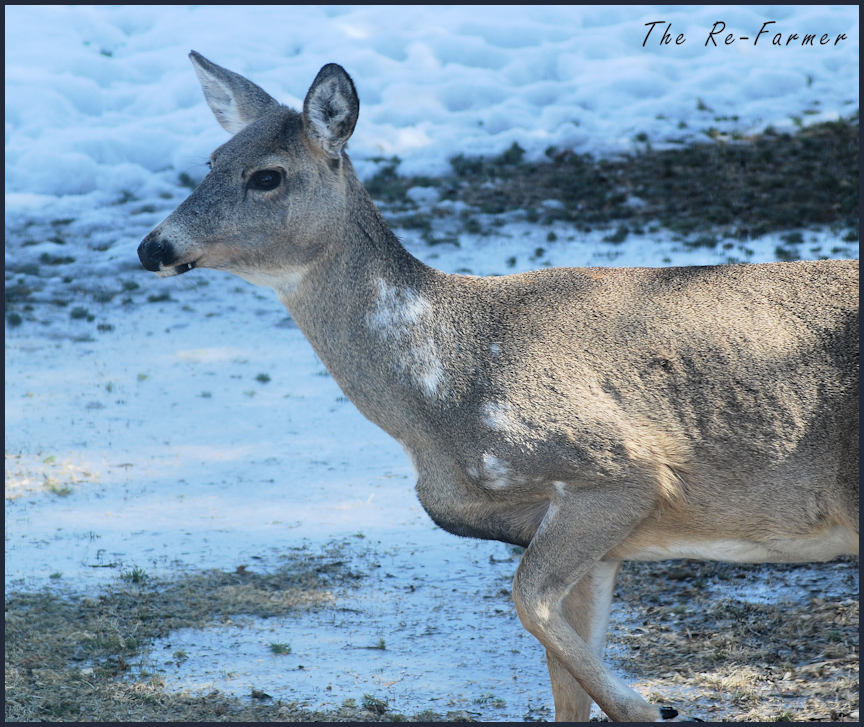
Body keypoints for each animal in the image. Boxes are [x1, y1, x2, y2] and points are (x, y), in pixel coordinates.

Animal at [138, 52, 859, 722]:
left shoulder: (616, 469)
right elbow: (564, 678)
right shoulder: (594, 538)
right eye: (211, 159)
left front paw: (648, 706)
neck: (441, 395)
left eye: (266, 175)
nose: (152, 246)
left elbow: (525, 599)